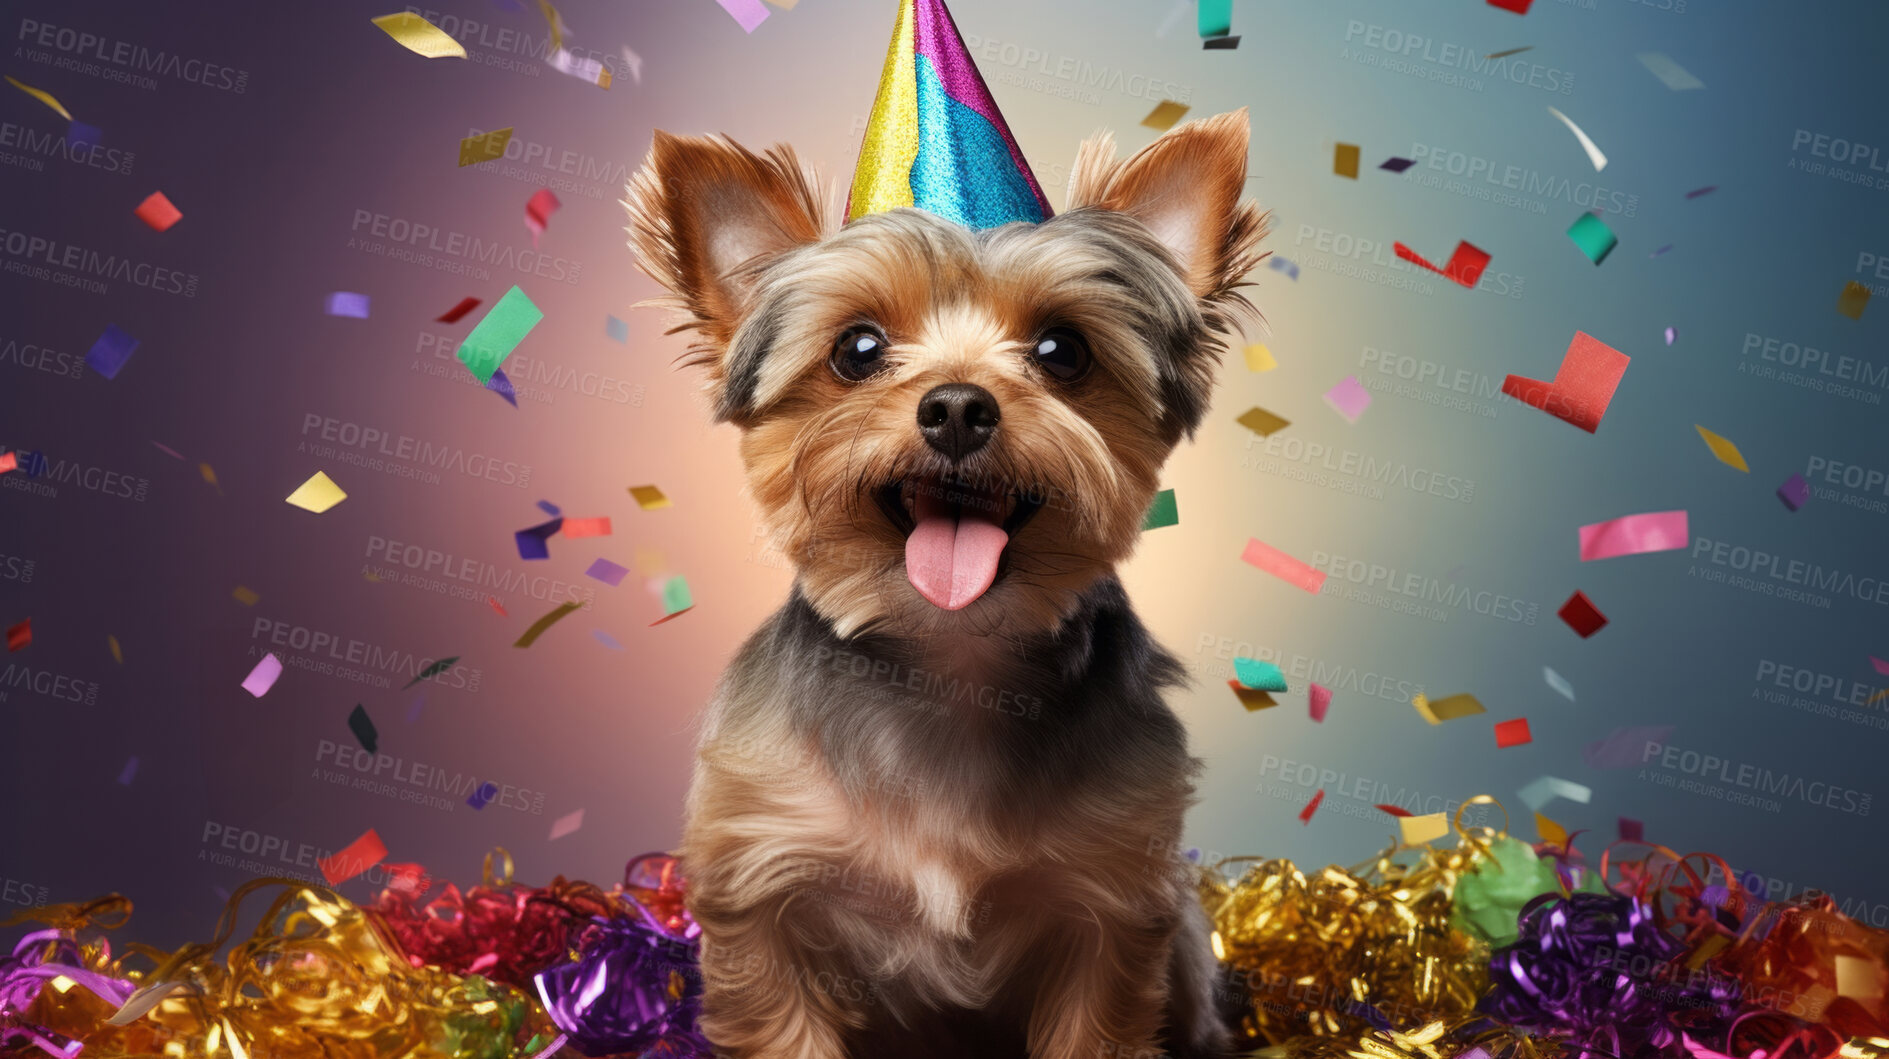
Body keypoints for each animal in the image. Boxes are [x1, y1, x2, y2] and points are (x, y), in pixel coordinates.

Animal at [623, 107, 1269, 1057]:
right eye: (857, 348)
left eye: (1061, 349)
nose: (958, 405)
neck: (952, 661)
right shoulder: (762, 888)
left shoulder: (1111, 903)